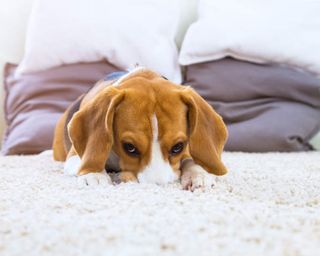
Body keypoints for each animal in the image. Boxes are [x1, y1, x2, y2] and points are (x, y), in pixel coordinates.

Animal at [52, 67, 228, 191]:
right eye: (129, 147)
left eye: (178, 147)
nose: (156, 187)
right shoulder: (73, 157)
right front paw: (94, 174)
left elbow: (190, 160)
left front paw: (199, 174)